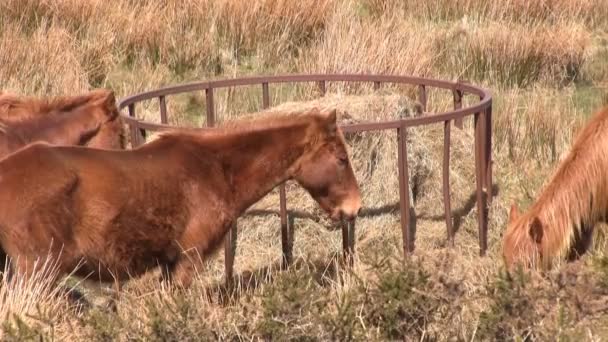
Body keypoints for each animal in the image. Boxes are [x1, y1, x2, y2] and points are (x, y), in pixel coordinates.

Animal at [0, 107, 360, 288]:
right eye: (342, 158)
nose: (355, 207)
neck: (217, 169)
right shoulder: (189, 258)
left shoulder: (169, 264)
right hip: (37, 271)